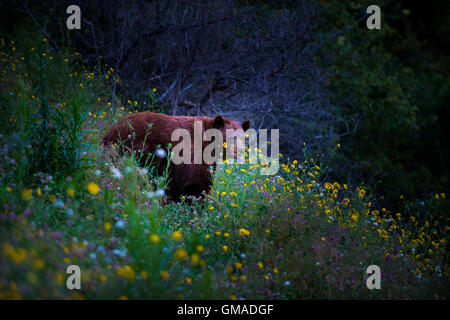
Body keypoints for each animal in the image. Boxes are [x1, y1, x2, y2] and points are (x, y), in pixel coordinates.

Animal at [100, 110, 251, 200]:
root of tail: (113, 130)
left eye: (244, 137)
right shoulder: (193, 154)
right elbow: (197, 183)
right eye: (231, 137)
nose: (240, 152)